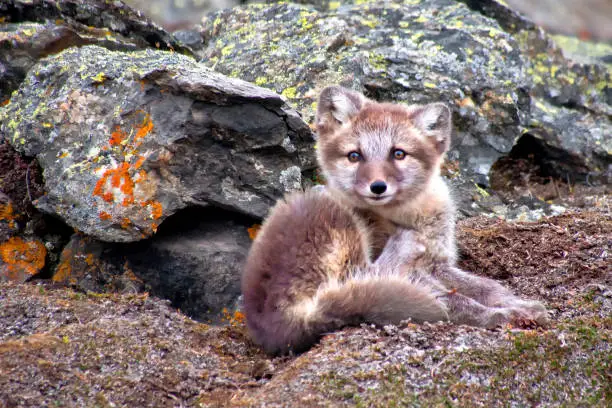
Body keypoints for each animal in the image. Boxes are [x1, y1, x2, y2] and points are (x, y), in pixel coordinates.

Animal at [240, 85, 548, 354]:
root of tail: (276, 327)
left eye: (398, 153)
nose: (377, 187)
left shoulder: (438, 265)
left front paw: (518, 303)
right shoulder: (416, 274)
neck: (415, 216)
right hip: (325, 213)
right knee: (368, 276)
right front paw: (505, 315)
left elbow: (486, 286)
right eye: (354, 156)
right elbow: (456, 300)